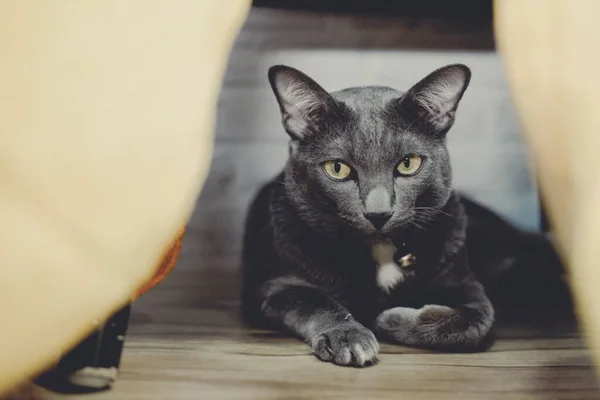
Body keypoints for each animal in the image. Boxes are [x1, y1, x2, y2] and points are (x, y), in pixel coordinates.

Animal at [240, 64, 568, 368]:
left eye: (408, 164)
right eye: (337, 168)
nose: (378, 213)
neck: (381, 250)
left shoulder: (464, 280)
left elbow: (477, 319)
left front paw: (390, 318)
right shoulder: (276, 283)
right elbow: (315, 302)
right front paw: (349, 336)